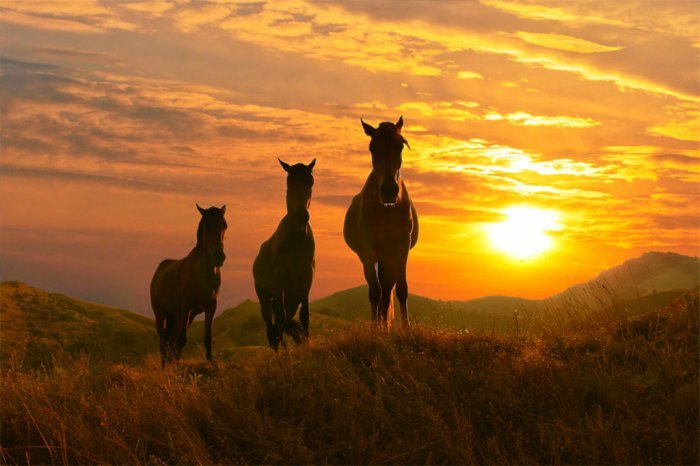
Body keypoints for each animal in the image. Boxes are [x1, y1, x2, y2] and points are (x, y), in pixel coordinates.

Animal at [150, 204, 227, 367]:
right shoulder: (187, 305)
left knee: (170, 341)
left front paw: (211, 362)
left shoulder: (211, 306)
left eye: (224, 225)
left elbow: (208, 336)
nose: (218, 257)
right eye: (206, 225)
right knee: (163, 343)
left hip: (178, 316)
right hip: (161, 315)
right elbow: (182, 338)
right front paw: (177, 363)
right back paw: (164, 367)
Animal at [253, 159, 316, 350]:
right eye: (289, 184)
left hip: (291, 296)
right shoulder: (278, 284)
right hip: (265, 297)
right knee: (271, 326)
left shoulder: (305, 282)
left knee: (282, 322)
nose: (301, 216)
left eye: (310, 182)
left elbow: (304, 316)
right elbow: (280, 320)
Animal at [344, 116, 418, 327]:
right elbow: (375, 293)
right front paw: (376, 330)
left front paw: (406, 329)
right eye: (372, 147)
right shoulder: (369, 251)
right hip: (371, 258)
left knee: (386, 292)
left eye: (400, 146)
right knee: (376, 291)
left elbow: (401, 290)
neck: (387, 210)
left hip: (388, 258)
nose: (389, 191)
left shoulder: (402, 248)